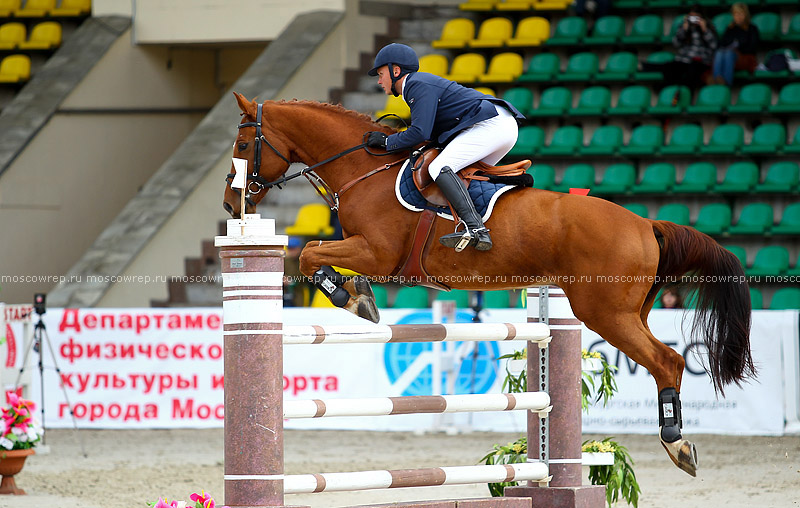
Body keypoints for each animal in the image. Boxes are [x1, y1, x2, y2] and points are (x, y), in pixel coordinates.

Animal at [222, 93, 752, 478]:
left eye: (244, 146)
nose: (231, 205)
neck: (364, 170)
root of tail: (646, 223)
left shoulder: (376, 252)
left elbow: (310, 254)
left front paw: (353, 300)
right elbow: (312, 254)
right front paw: (359, 297)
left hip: (606, 314)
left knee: (668, 361)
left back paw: (678, 446)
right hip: (627, 310)